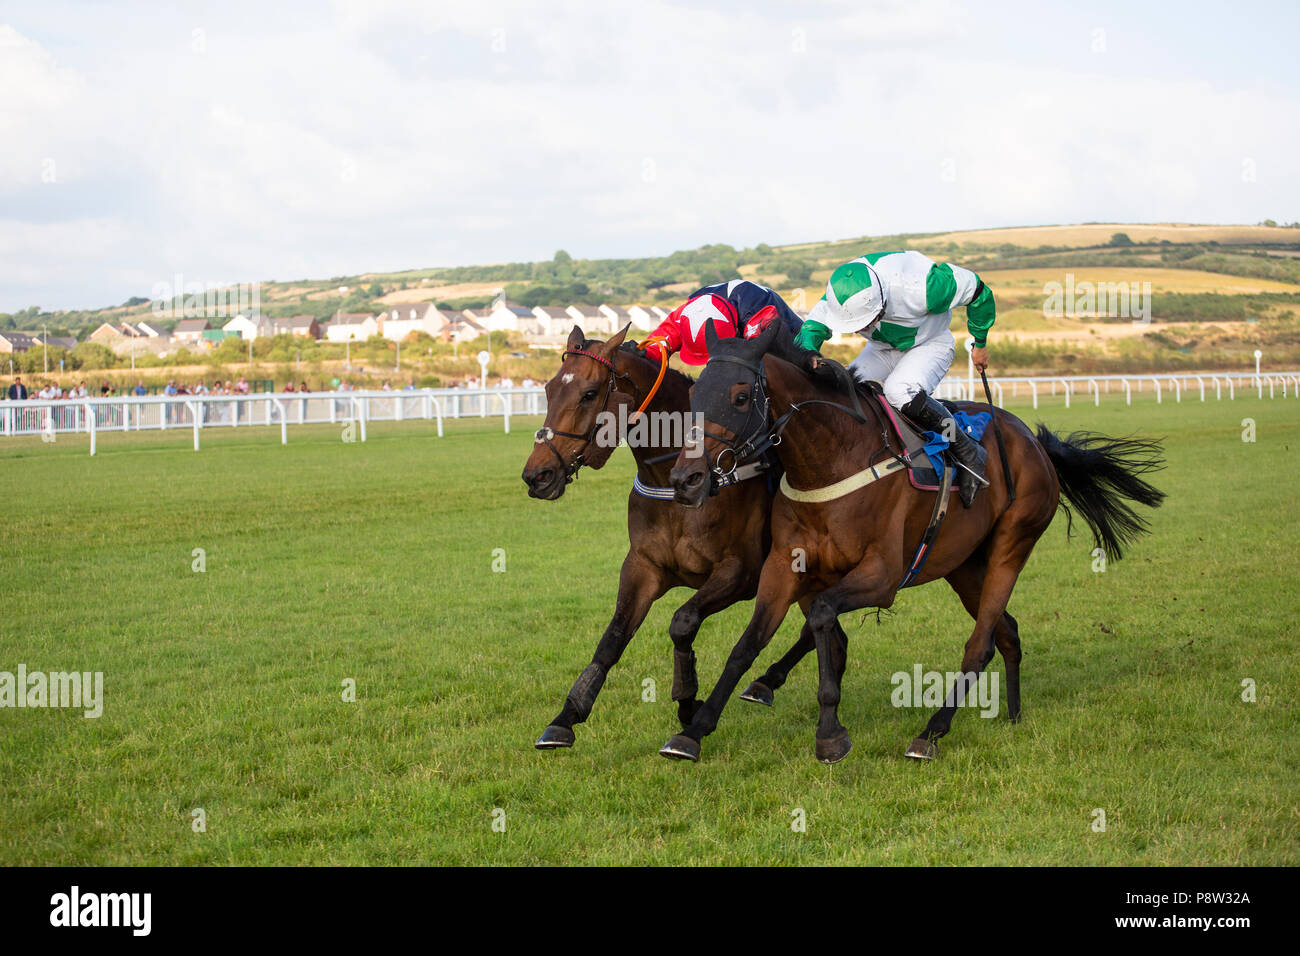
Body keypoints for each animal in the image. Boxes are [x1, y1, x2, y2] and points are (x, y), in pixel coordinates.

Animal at [517, 325, 842, 749]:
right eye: (549, 388)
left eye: (589, 393)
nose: (537, 476)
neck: (674, 483)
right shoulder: (643, 567)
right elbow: (612, 638)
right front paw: (566, 716)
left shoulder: (742, 574)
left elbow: (682, 622)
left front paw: (688, 704)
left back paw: (767, 683)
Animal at [665, 319, 1164, 764]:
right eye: (693, 395)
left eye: (740, 396)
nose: (686, 480)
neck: (831, 460)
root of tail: (1034, 440)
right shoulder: (784, 566)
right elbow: (746, 645)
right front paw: (694, 730)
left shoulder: (881, 576)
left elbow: (823, 615)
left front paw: (829, 734)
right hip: (964, 565)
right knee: (1006, 631)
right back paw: (1014, 714)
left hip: (1012, 544)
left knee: (980, 643)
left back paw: (931, 732)